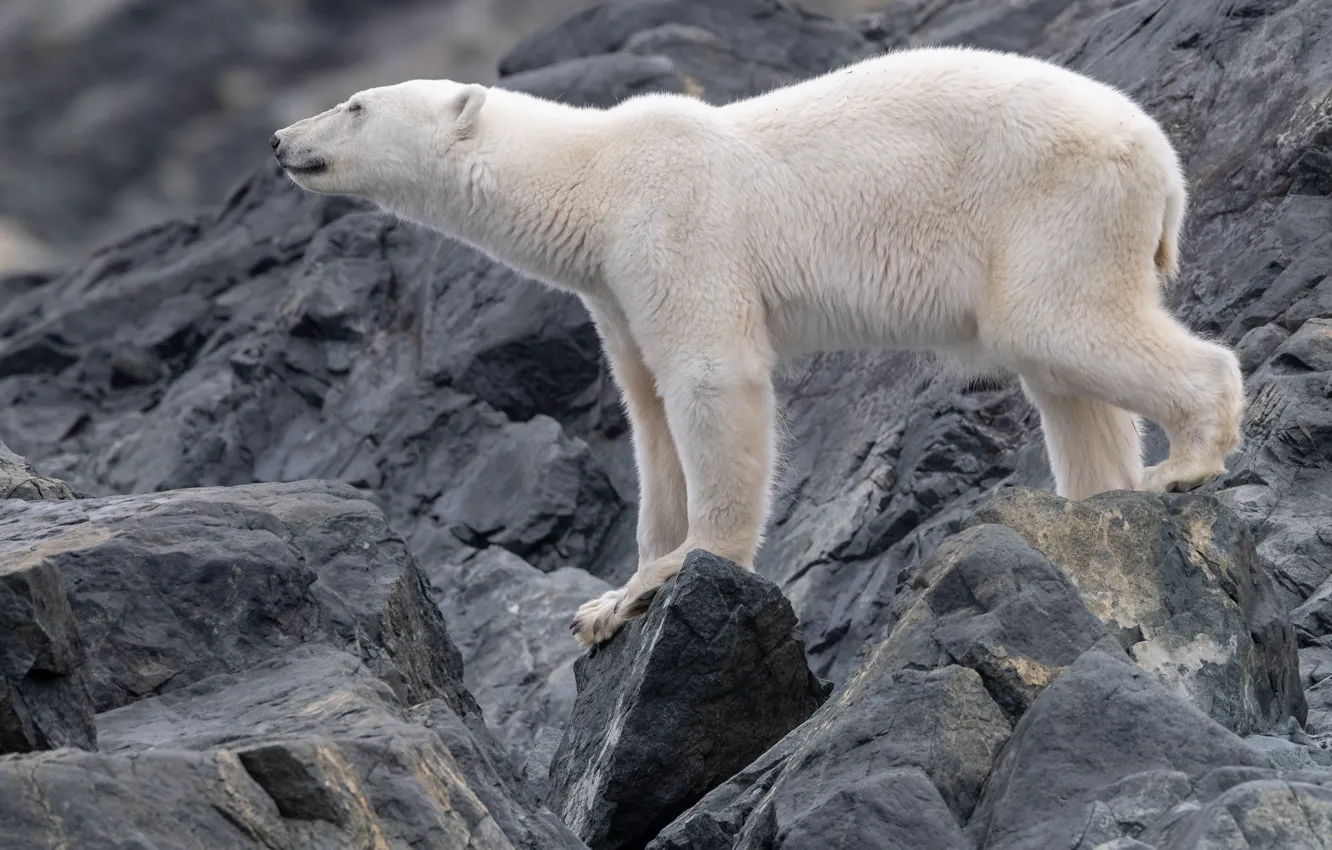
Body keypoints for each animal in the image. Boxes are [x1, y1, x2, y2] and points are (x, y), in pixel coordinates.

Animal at [272, 45, 1245, 649]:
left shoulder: (676, 228)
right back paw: (1099, 497)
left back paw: (1185, 463)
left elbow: (711, 381)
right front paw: (609, 600)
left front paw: (679, 571)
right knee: (1061, 373)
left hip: (1052, 197)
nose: (282, 140)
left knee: (1056, 325)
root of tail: (1163, 159)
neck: (593, 176)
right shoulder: (613, 287)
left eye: (354, 105)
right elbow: (648, 415)